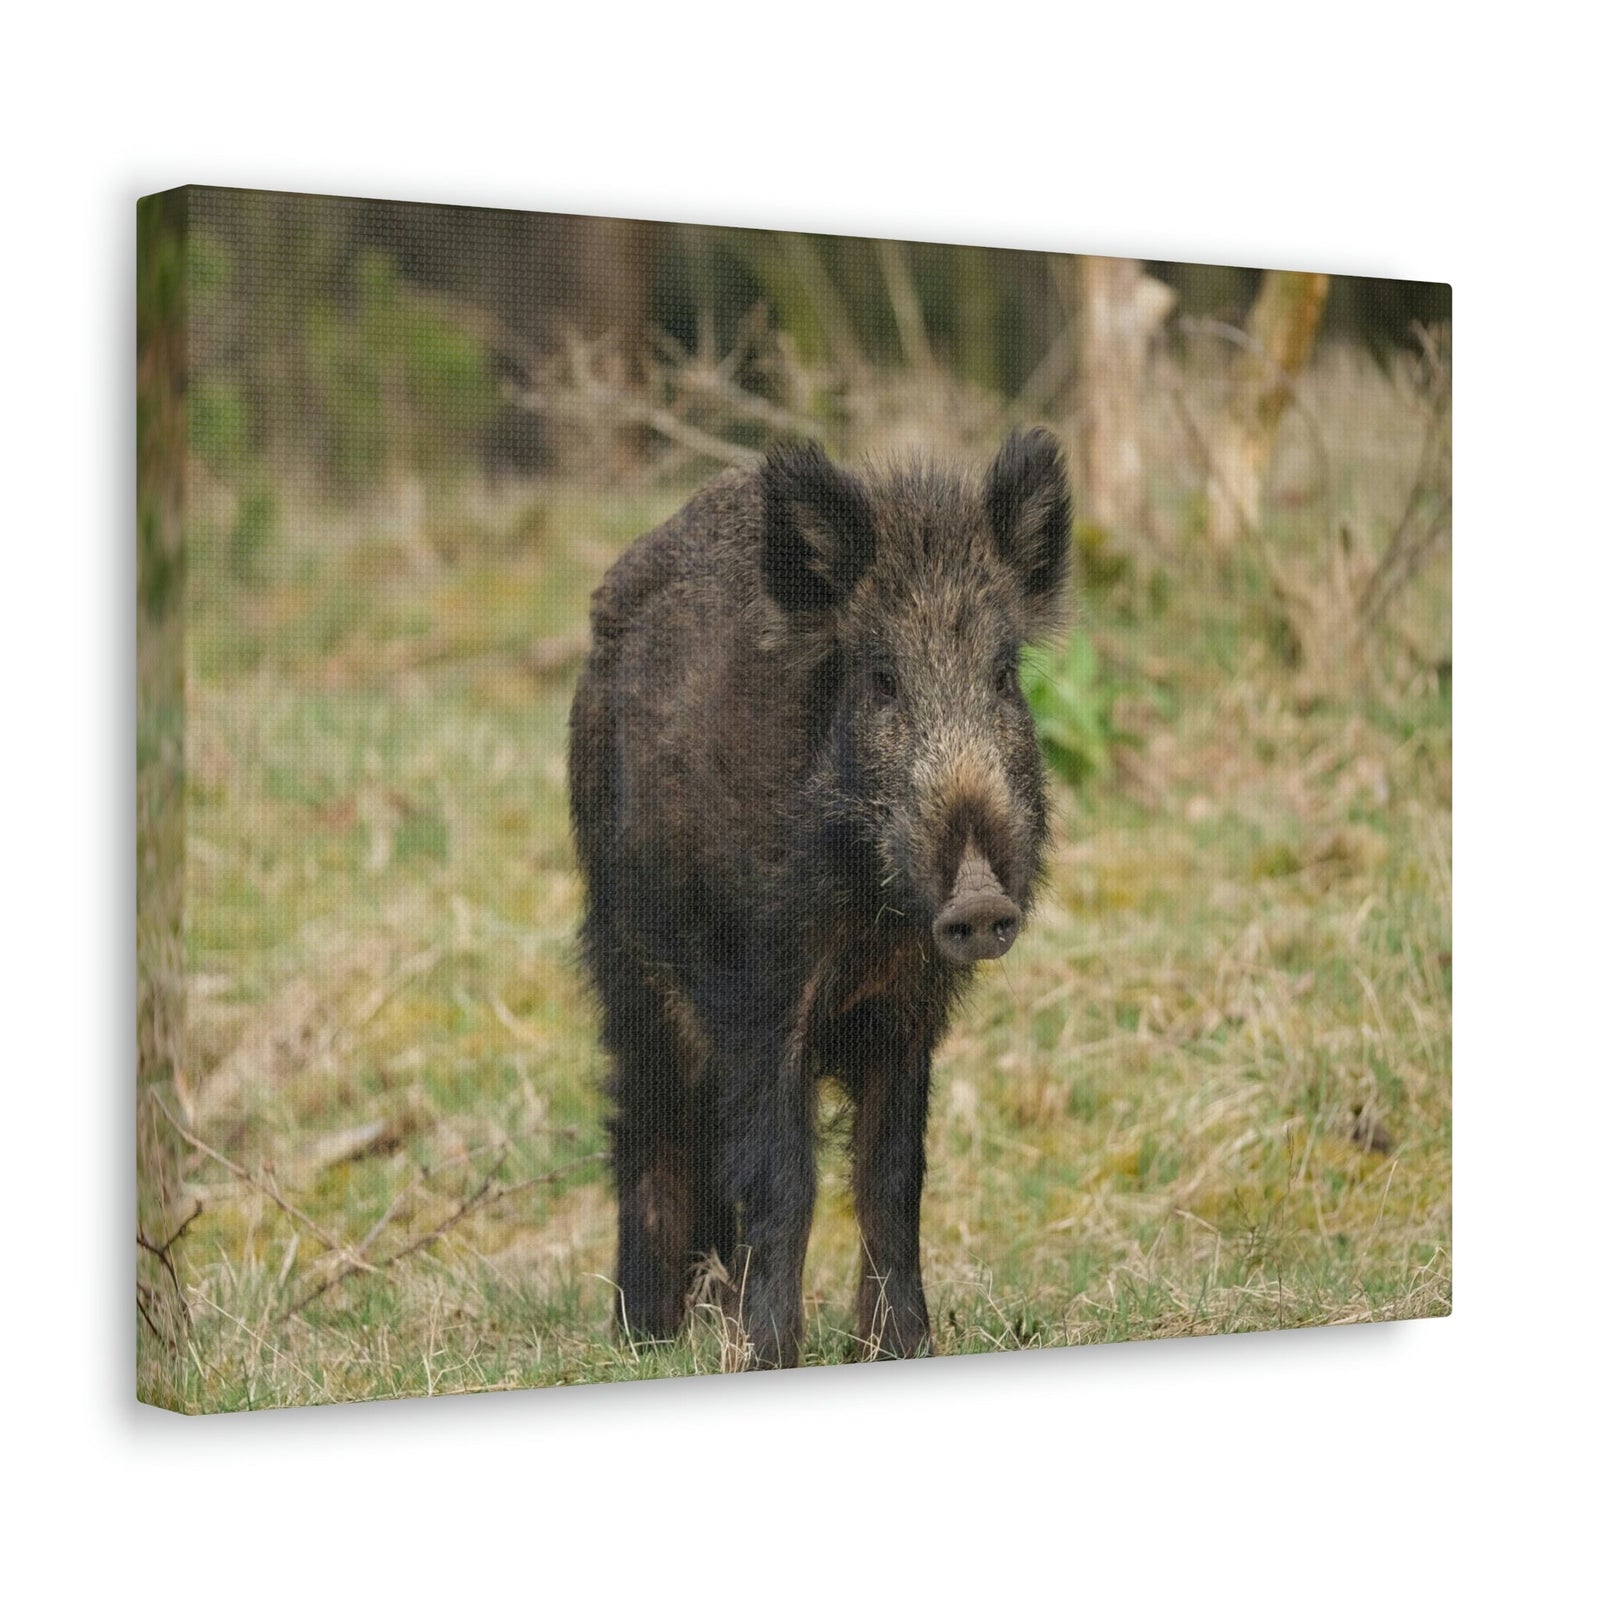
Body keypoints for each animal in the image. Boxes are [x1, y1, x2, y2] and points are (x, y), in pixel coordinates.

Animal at [568, 429, 1071, 1368]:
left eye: (1004, 675)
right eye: (880, 679)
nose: (980, 900)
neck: (868, 916)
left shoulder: (911, 1010)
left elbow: (894, 1178)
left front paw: (903, 1349)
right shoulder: (756, 994)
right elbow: (784, 1179)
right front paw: (768, 1357)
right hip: (622, 948)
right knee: (646, 1114)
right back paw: (645, 1335)